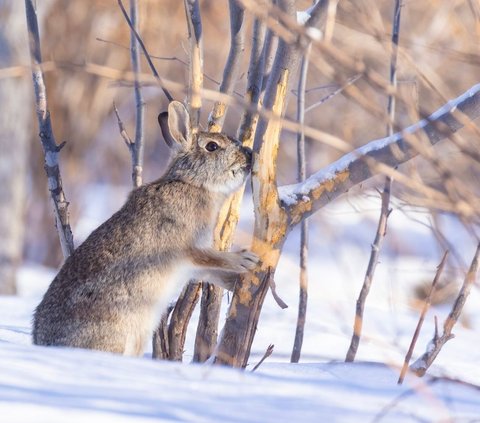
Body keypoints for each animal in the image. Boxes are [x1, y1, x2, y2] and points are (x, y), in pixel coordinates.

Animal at [32, 101, 258, 356]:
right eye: (212, 146)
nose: (249, 155)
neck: (192, 183)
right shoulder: (188, 248)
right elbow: (215, 259)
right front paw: (246, 260)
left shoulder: (191, 265)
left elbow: (210, 273)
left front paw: (237, 282)